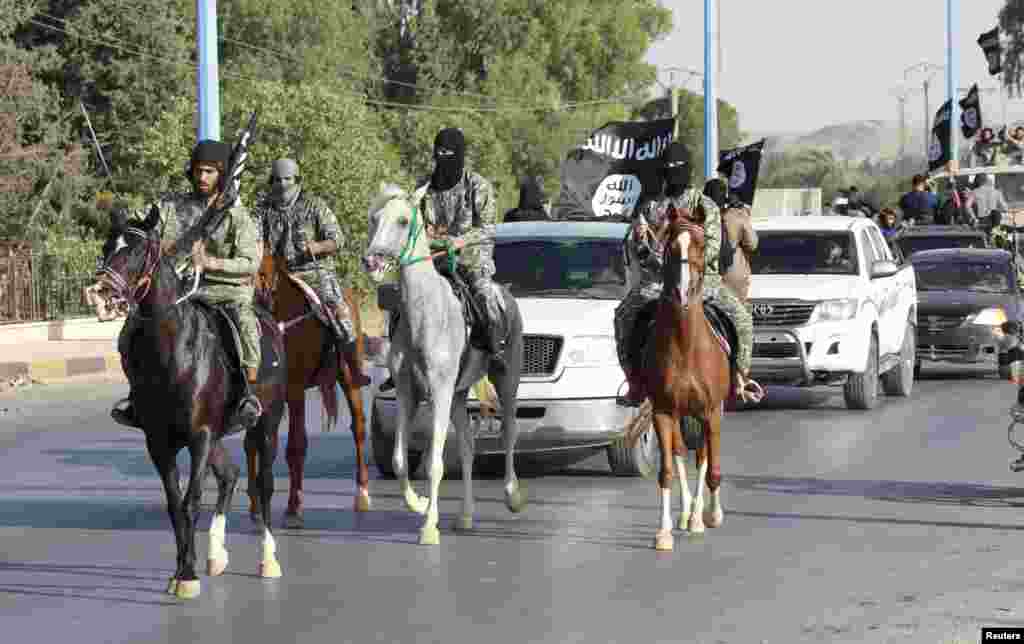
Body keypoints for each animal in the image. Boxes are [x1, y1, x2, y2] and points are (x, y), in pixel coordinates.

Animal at [252, 248, 372, 524]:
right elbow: (254, 444)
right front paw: (255, 506)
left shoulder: (294, 390)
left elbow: (296, 445)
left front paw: (294, 505)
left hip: (349, 378)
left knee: (359, 427)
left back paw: (362, 494)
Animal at [364, 183, 528, 544]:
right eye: (374, 218)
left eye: (402, 220)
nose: (372, 260)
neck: (425, 313)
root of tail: (506, 296)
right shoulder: (408, 393)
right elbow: (399, 461)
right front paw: (419, 503)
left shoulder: (438, 391)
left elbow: (434, 464)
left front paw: (428, 527)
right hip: (457, 396)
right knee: (467, 449)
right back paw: (465, 516)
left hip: (506, 380)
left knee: (509, 433)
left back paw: (513, 496)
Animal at [618, 208, 733, 548]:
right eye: (669, 247)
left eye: (701, 245)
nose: (682, 291)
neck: (685, 345)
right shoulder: (663, 412)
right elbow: (667, 469)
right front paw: (665, 532)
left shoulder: (711, 411)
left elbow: (711, 466)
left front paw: (710, 516)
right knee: (682, 452)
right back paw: (685, 515)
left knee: (704, 454)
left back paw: (699, 515)